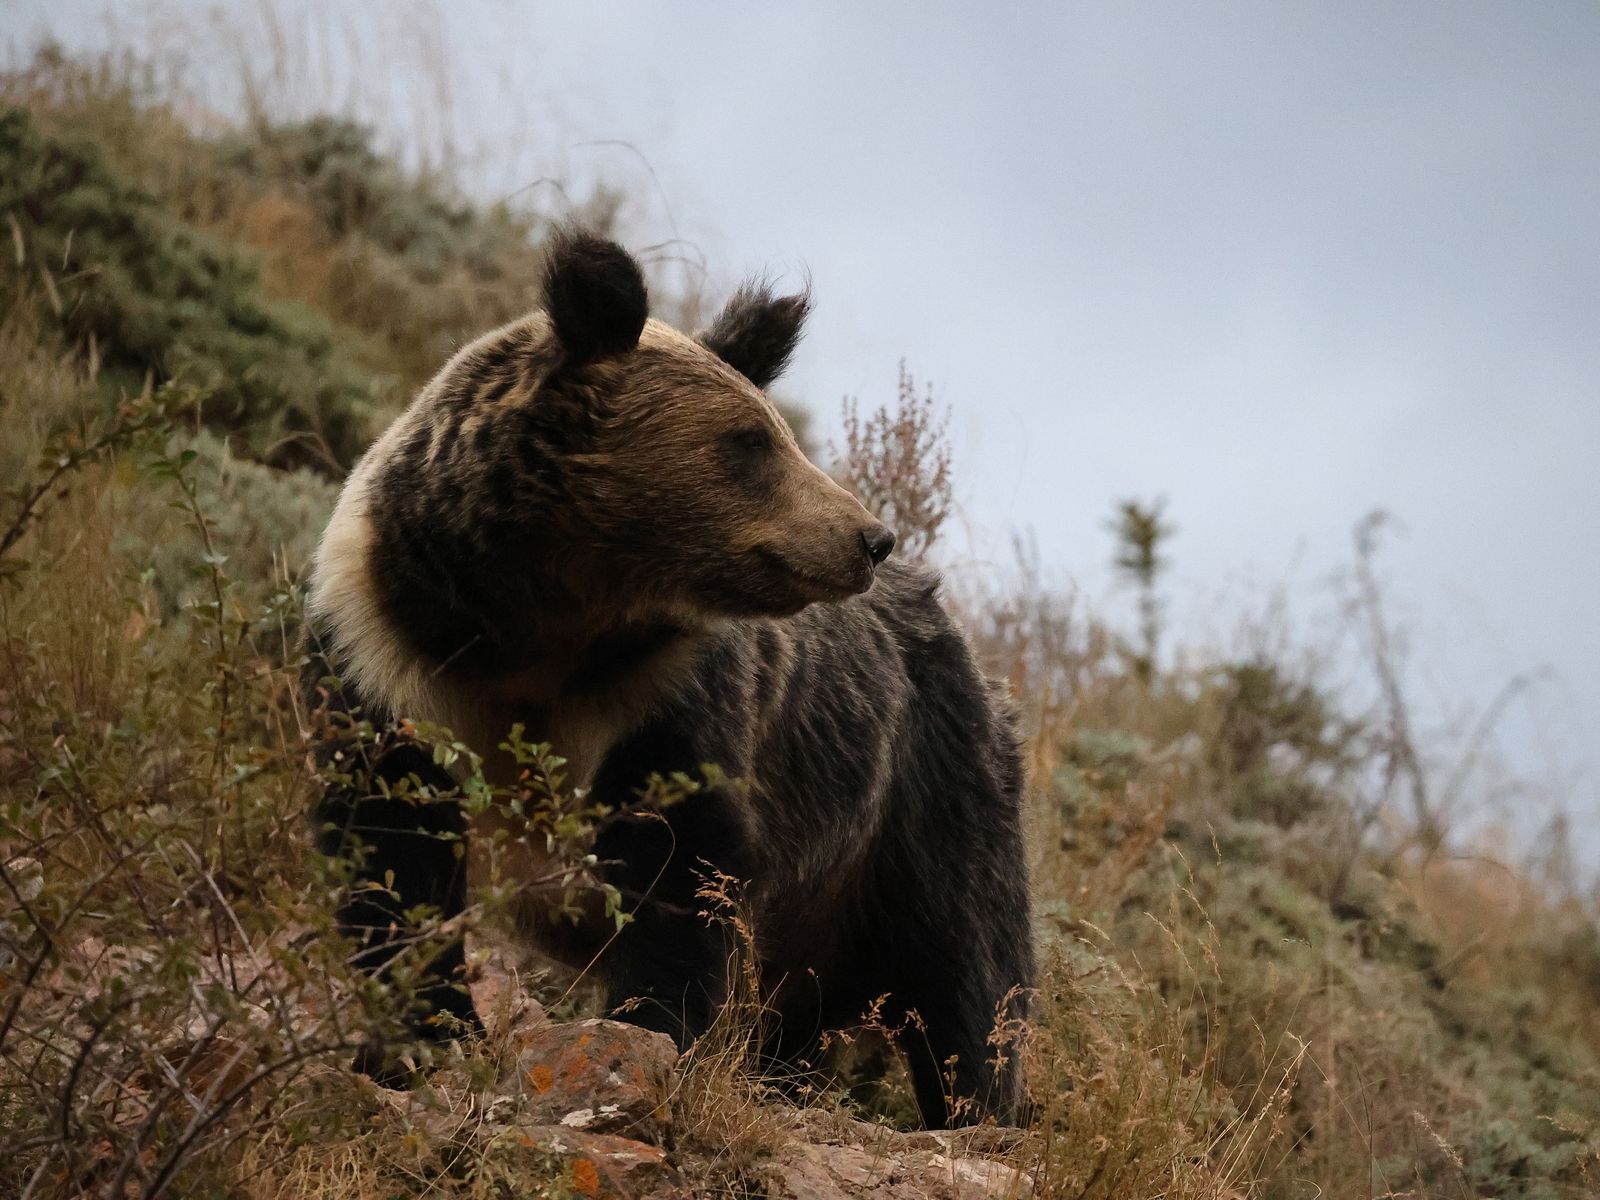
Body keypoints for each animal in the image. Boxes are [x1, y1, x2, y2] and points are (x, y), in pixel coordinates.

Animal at [301, 231, 1034, 1127]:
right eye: (752, 440)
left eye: (776, 431)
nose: (870, 537)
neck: (534, 620)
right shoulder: (390, 659)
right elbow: (391, 851)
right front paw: (421, 1037)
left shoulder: (659, 698)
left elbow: (679, 866)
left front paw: (641, 1038)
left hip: (915, 805)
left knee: (968, 972)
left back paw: (979, 1110)